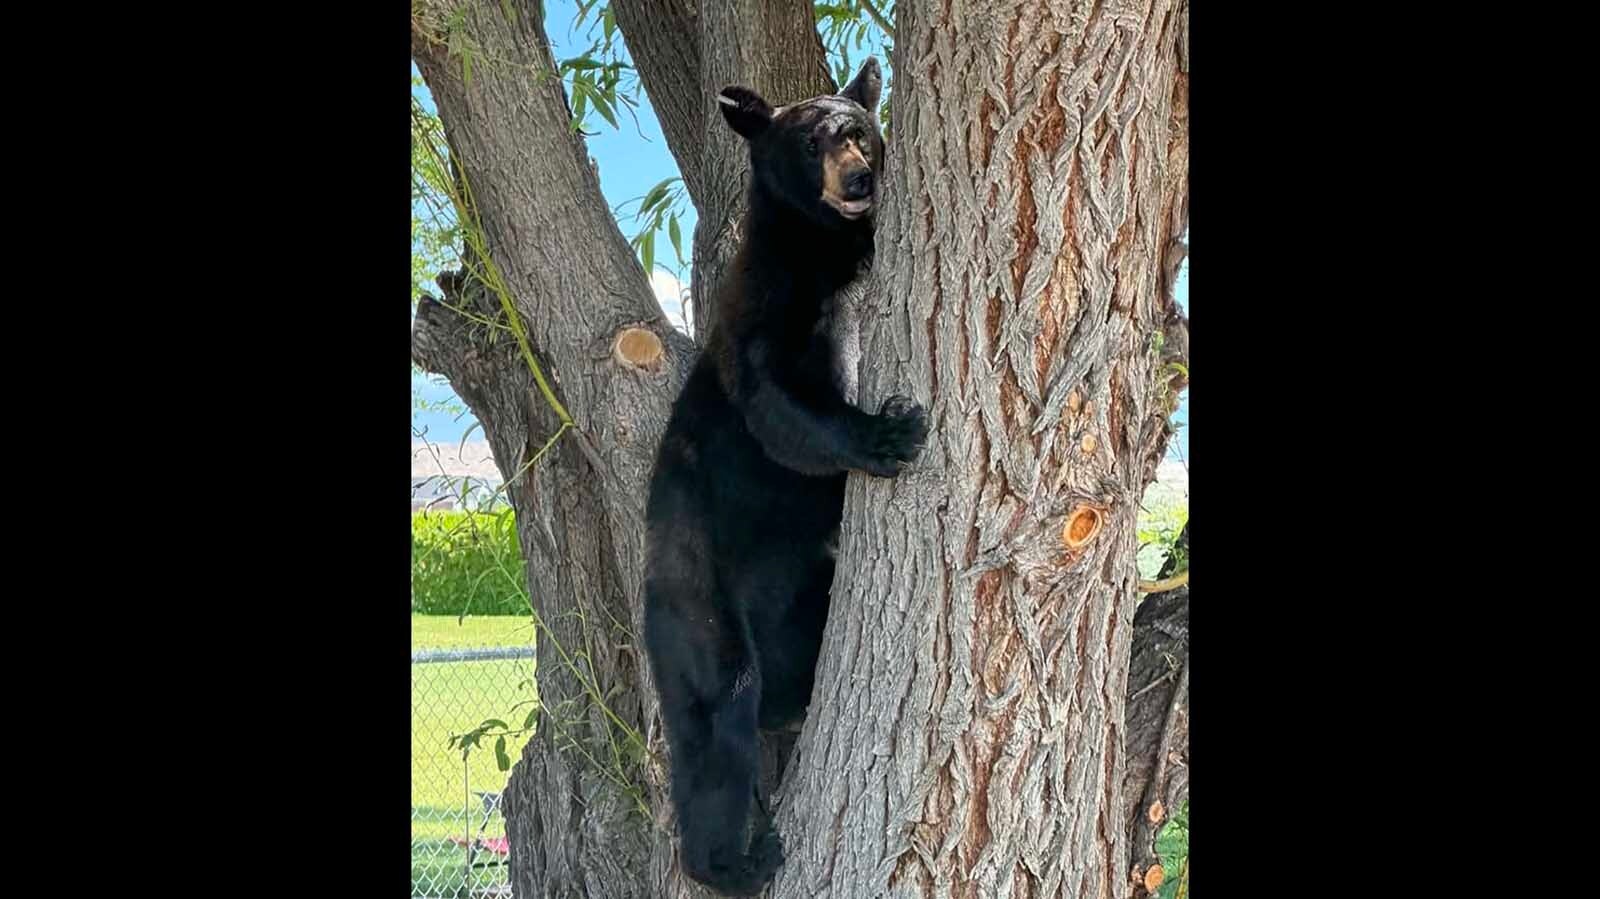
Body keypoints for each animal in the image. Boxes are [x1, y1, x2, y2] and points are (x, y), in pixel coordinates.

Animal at [642, 58, 927, 897]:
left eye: (859, 130)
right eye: (809, 142)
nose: (859, 178)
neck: (828, 244)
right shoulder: (767, 306)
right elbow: (782, 404)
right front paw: (890, 432)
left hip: (799, 584)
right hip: (700, 606)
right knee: (717, 722)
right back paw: (739, 860)